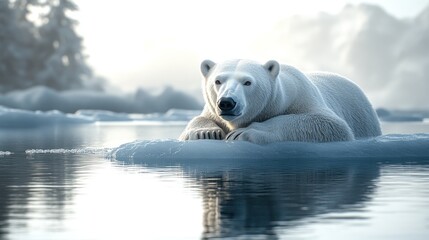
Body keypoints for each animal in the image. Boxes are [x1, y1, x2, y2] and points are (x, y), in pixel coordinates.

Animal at [179, 59, 380, 143]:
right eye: (218, 81)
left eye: (247, 82)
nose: (227, 102)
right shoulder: (212, 110)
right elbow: (199, 119)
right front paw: (206, 132)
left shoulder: (303, 96)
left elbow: (330, 124)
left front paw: (244, 132)